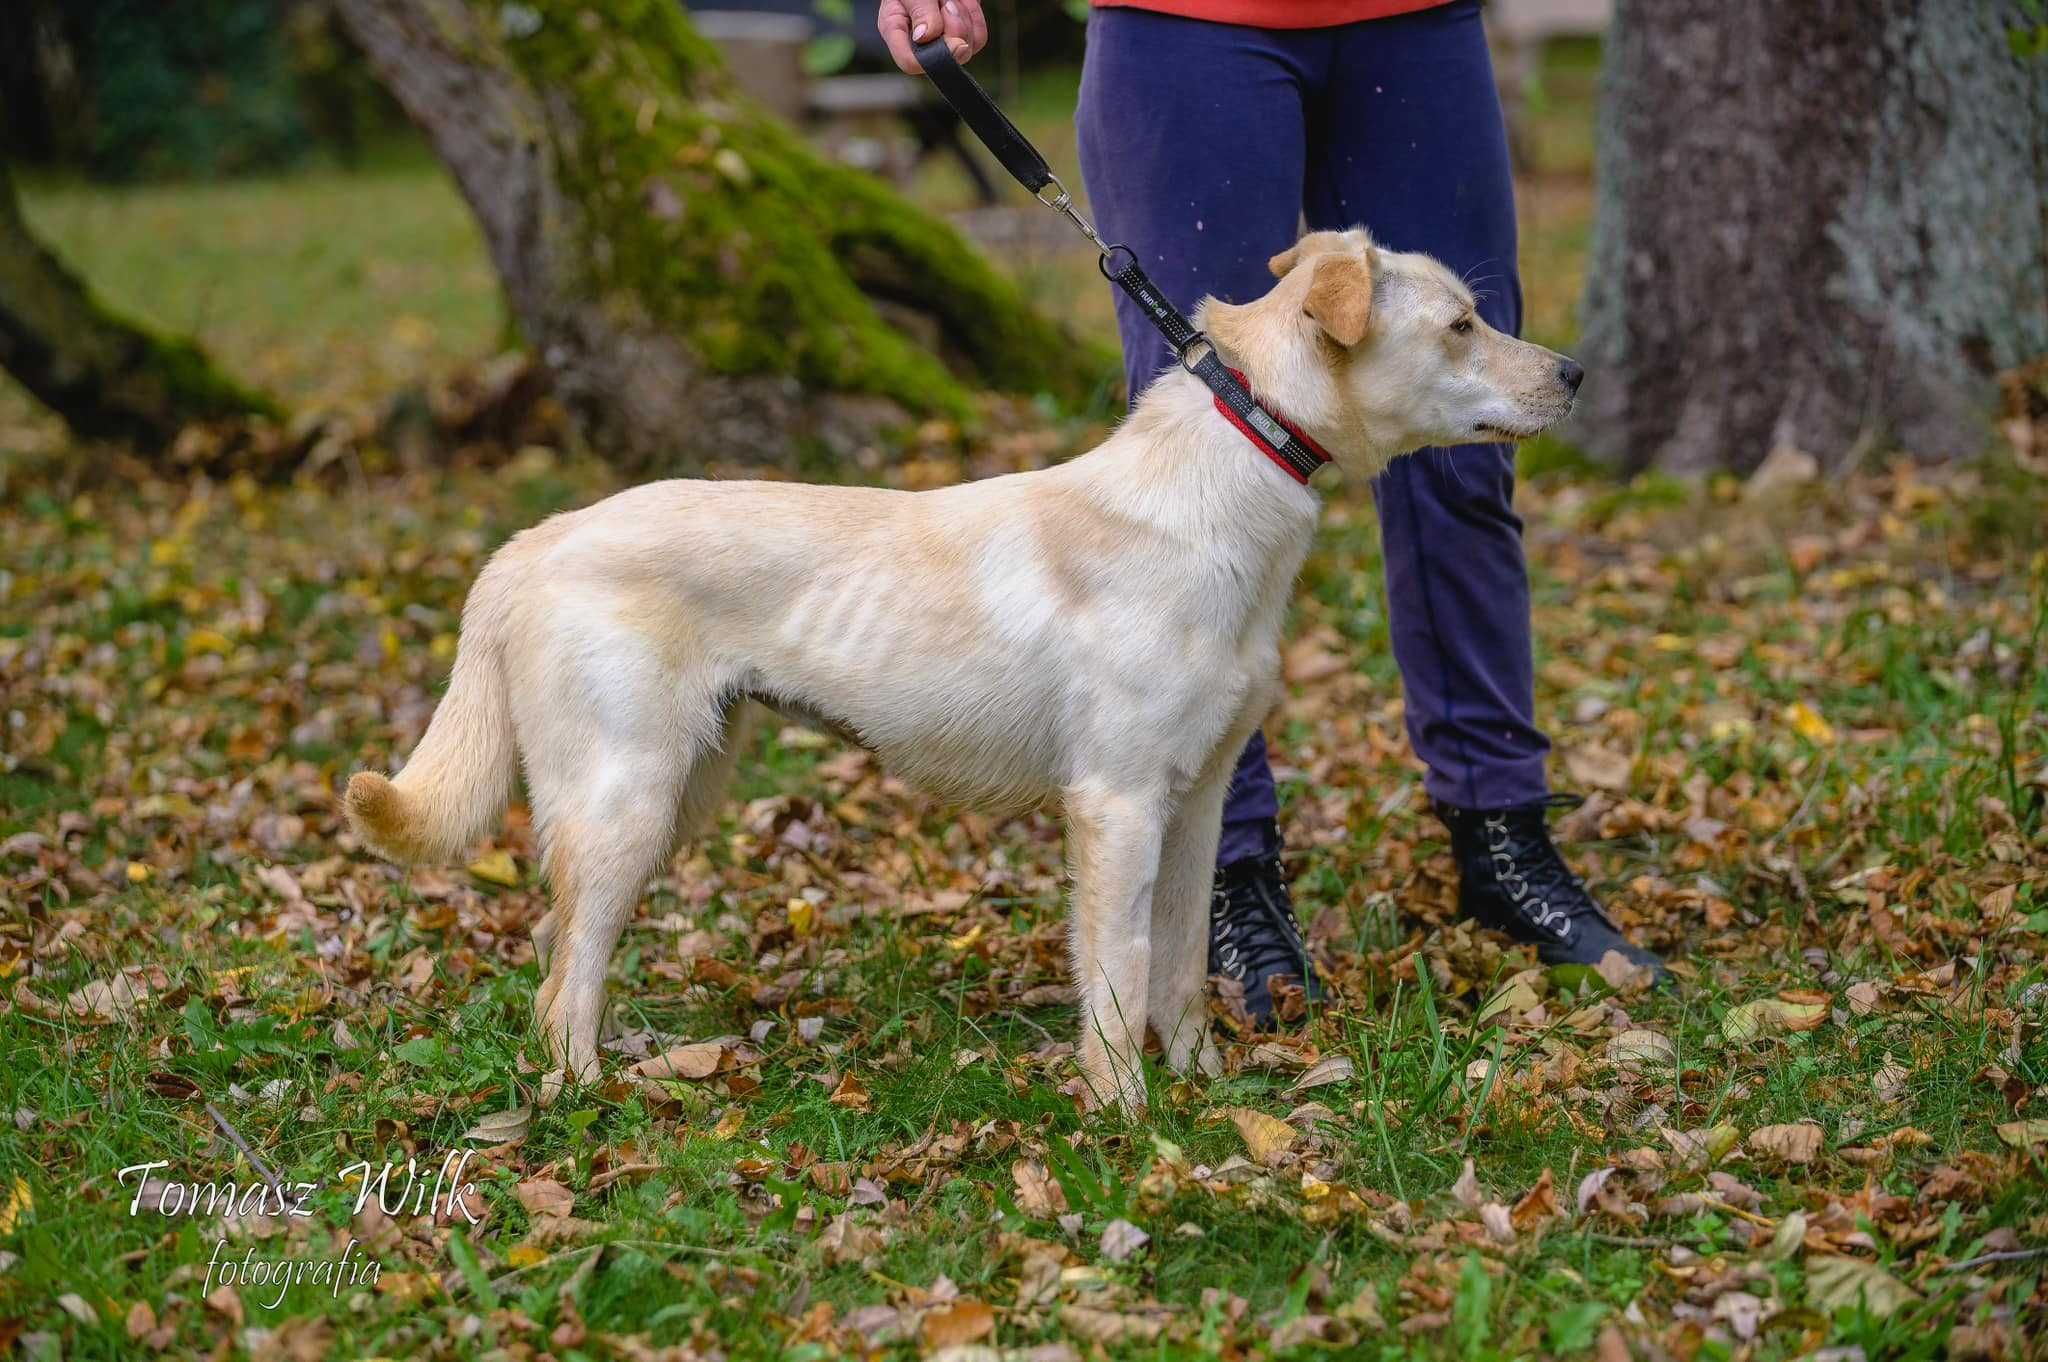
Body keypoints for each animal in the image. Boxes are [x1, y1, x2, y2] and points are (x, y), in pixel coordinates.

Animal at [344, 228, 1581, 1114]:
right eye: (1461, 325)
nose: (1571, 371)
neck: (1224, 486)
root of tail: (531, 541)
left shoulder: (1196, 802)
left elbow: (1181, 962)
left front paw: (1199, 1087)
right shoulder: (1116, 803)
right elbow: (1119, 967)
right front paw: (1124, 1117)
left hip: (669, 797)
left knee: (552, 951)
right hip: (629, 799)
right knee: (564, 975)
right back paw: (590, 1103)